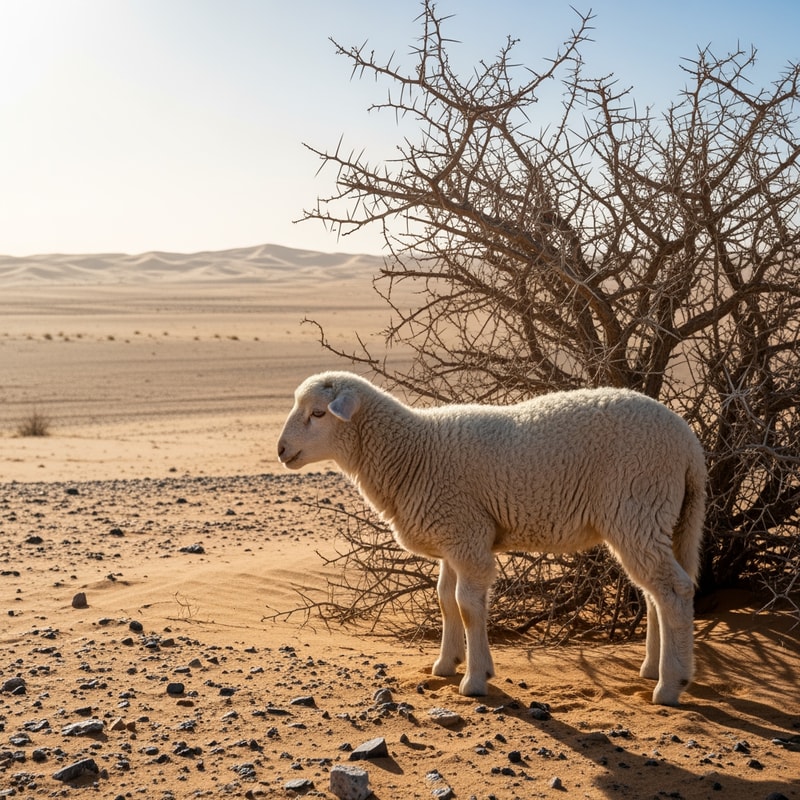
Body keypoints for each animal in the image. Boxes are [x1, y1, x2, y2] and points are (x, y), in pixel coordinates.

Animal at [277, 371, 706, 705]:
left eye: (318, 413)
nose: (281, 450)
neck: (412, 452)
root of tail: (689, 445)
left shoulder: (467, 536)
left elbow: (467, 605)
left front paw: (475, 678)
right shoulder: (454, 537)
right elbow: (444, 600)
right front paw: (445, 664)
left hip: (638, 503)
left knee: (674, 591)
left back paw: (671, 684)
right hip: (657, 518)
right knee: (655, 592)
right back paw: (652, 668)